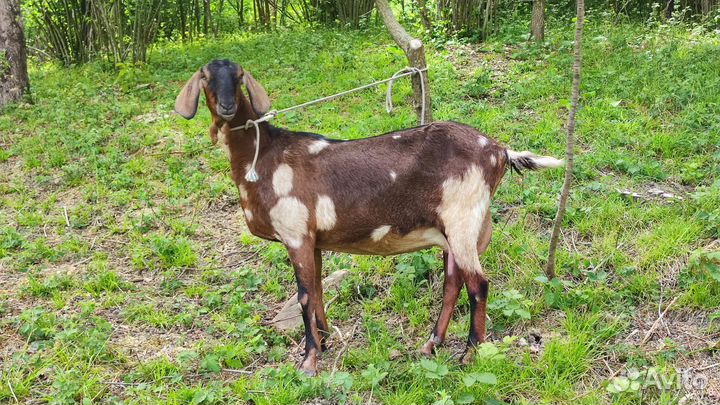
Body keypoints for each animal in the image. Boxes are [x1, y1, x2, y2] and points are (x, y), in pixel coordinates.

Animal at [174, 59, 563, 376]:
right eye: (205, 76)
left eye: (239, 76)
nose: (227, 107)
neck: (264, 156)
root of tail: (500, 151)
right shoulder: (313, 240)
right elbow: (317, 290)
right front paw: (325, 342)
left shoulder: (295, 234)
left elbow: (303, 296)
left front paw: (308, 362)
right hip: (456, 230)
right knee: (453, 283)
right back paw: (430, 345)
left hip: (462, 220)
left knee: (478, 285)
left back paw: (469, 355)